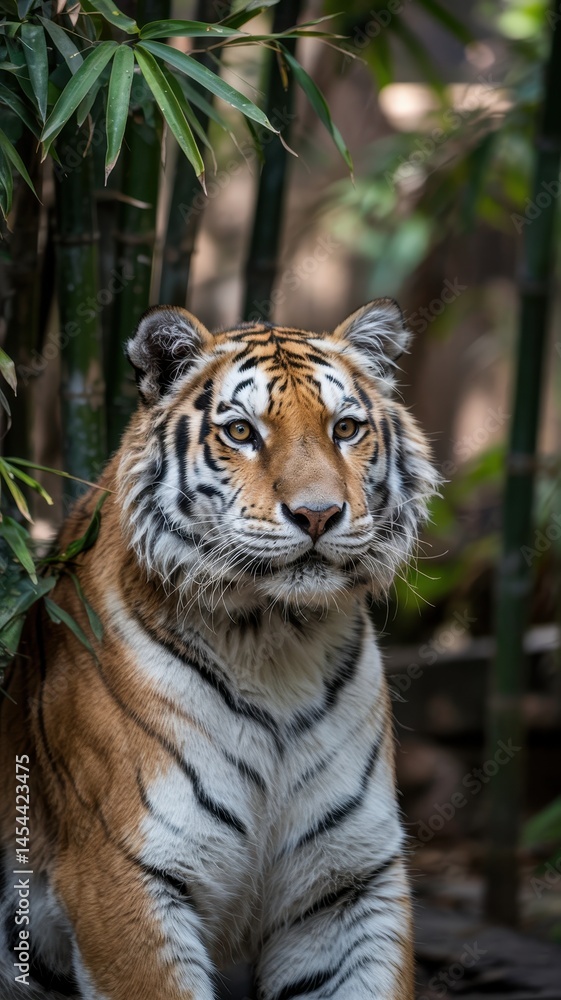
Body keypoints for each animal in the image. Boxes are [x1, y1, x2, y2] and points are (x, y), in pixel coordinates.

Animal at [0, 298, 438, 1000]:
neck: (278, 641)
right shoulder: (121, 873)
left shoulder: (348, 884)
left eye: (345, 429)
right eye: (240, 432)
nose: (319, 515)